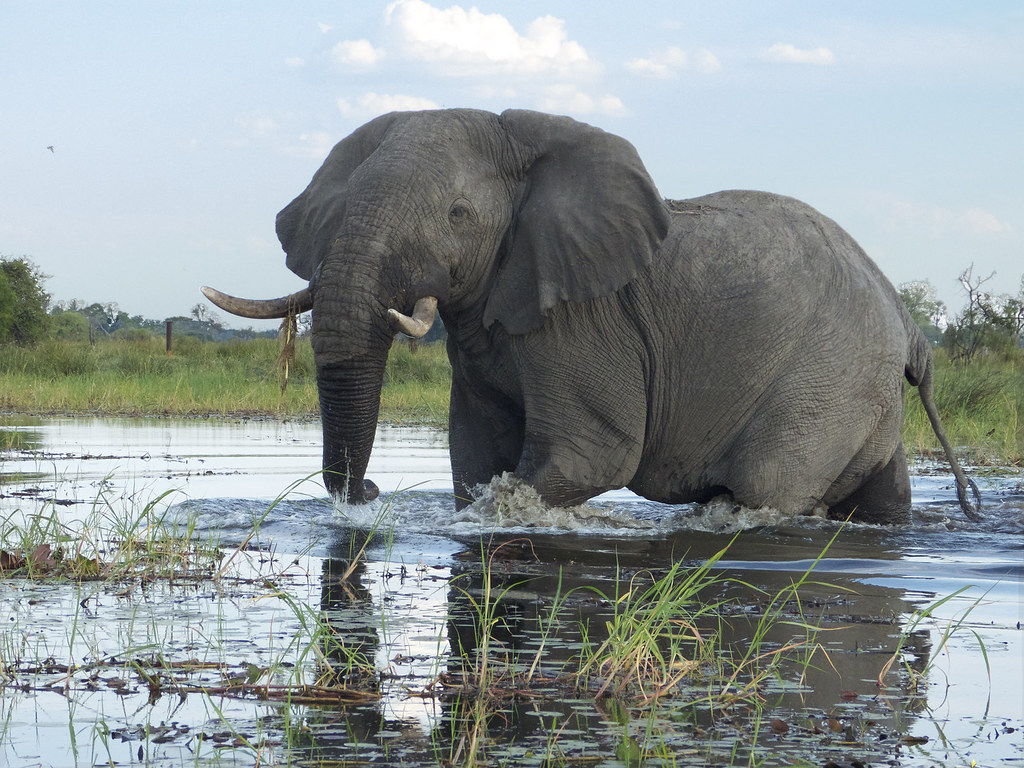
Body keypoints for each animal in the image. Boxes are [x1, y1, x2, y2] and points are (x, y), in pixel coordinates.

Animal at [203, 108, 981, 525]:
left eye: (457, 215)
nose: (366, 491)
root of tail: (910, 328)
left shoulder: (584, 321)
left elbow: (588, 455)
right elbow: (474, 455)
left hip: (827, 381)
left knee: (767, 488)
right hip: (864, 392)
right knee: (882, 498)